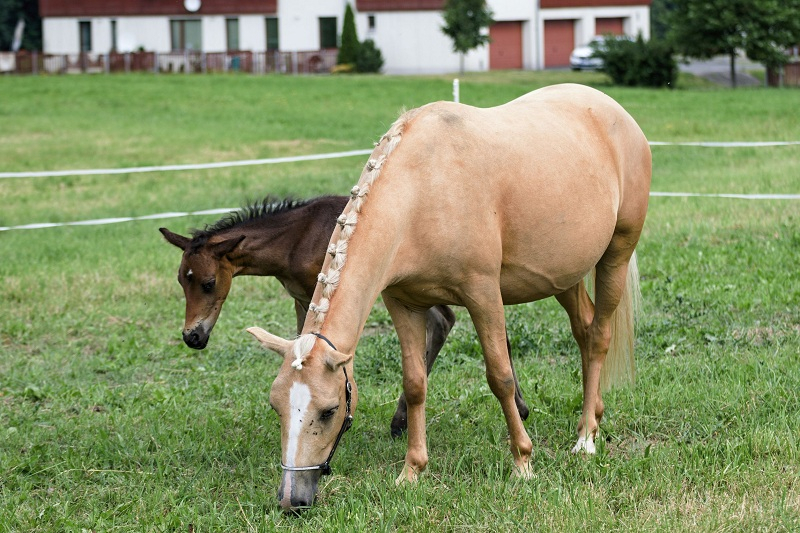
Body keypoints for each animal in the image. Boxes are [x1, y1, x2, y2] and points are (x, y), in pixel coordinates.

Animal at [159, 198, 528, 436]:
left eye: (208, 283)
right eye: (180, 280)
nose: (192, 337)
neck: (297, 237)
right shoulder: (302, 298)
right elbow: (302, 343)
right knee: (449, 322)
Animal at [248, 84, 648, 512]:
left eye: (329, 410)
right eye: (276, 405)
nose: (292, 499)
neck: (422, 190)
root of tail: (615, 111)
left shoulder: (483, 294)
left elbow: (500, 377)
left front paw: (523, 462)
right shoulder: (404, 304)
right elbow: (415, 383)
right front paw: (412, 471)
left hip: (616, 255)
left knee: (600, 336)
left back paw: (586, 438)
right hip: (565, 277)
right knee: (585, 332)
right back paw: (594, 418)